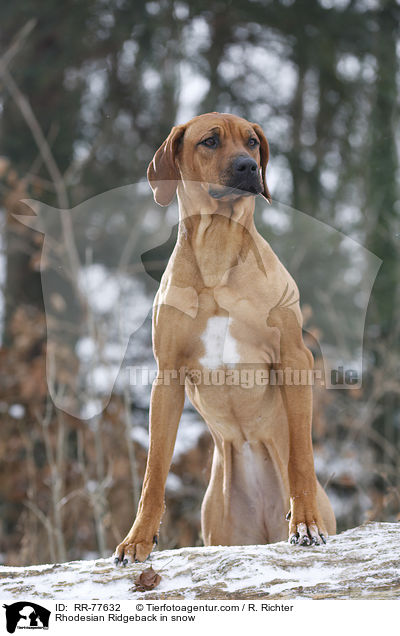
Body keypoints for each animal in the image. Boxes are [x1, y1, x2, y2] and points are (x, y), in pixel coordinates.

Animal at [114, 113, 336, 560]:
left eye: (252, 142)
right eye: (210, 141)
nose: (248, 168)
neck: (216, 249)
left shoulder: (294, 359)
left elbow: (302, 456)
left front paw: (305, 522)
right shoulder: (167, 375)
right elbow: (154, 471)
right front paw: (138, 538)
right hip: (221, 525)